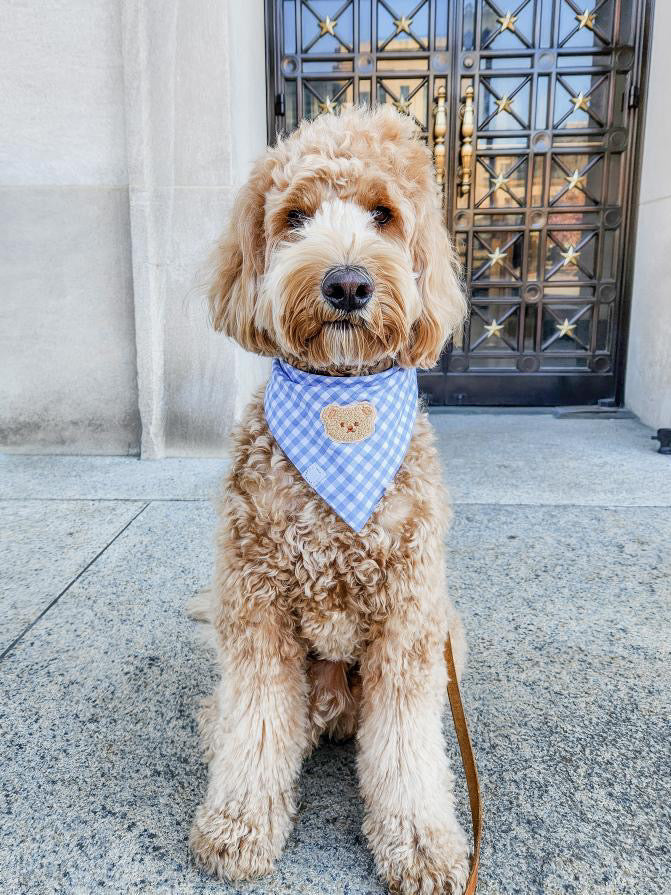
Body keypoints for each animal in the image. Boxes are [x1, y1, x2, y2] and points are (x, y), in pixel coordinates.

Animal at [188, 107, 472, 895]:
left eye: (383, 215)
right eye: (295, 217)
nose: (346, 284)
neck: (342, 410)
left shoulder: (411, 619)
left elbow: (406, 746)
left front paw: (421, 843)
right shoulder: (255, 606)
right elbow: (257, 724)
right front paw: (241, 823)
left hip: (447, 638)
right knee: (250, 714)